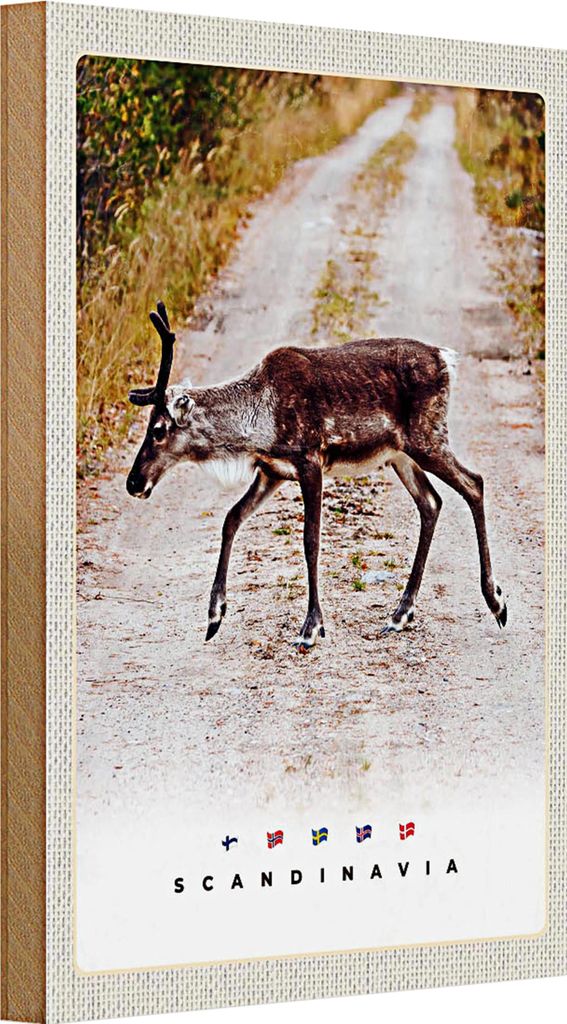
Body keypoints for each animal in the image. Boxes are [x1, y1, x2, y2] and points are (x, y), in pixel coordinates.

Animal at [126, 302, 507, 651]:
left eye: (158, 430)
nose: (133, 483)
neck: (258, 422)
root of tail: (446, 359)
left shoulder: (310, 461)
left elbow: (311, 541)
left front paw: (311, 628)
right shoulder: (272, 471)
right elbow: (231, 519)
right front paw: (214, 616)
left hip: (427, 437)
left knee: (474, 483)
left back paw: (496, 602)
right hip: (399, 454)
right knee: (431, 502)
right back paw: (400, 614)